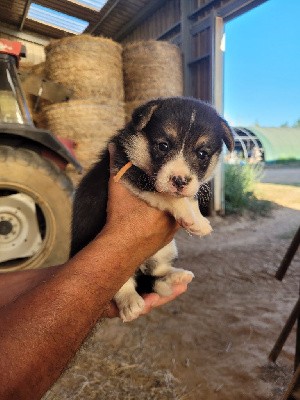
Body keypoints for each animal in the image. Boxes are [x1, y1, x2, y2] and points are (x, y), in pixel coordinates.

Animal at [71, 96, 234, 322]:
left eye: (202, 154)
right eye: (163, 146)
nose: (179, 181)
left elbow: (189, 198)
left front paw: (200, 221)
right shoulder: (129, 172)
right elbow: (168, 195)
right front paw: (191, 219)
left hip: (166, 250)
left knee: (155, 273)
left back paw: (176, 276)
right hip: (111, 263)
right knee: (125, 284)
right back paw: (130, 302)